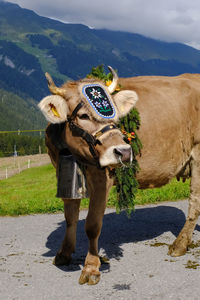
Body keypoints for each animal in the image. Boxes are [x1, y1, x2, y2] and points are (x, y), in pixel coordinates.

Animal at [38, 68, 200, 286]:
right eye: (83, 115)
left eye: (116, 115)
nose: (123, 152)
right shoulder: (62, 171)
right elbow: (70, 217)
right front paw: (64, 253)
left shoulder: (101, 178)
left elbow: (92, 225)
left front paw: (91, 268)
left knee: (194, 202)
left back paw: (180, 245)